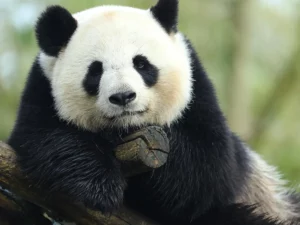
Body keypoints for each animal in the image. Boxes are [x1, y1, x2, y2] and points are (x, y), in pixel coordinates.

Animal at [7, 0, 300, 225]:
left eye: (141, 64)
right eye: (95, 71)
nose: (123, 97)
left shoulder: (198, 96)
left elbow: (204, 172)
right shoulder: (41, 92)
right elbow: (44, 139)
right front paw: (100, 186)